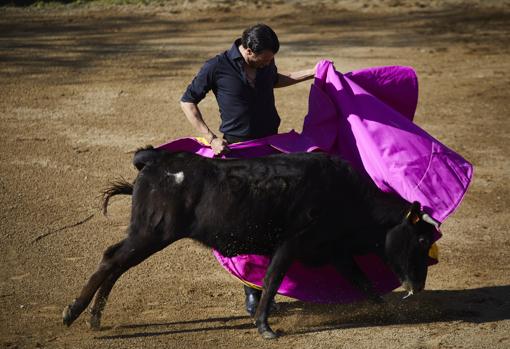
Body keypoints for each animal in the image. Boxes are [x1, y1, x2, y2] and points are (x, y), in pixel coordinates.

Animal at [62, 147, 438, 338]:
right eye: (421, 239)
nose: (419, 285)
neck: (345, 195)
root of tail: (154, 159)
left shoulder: (336, 252)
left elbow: (364, 284)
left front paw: (391, 312)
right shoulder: (290, 244)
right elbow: (272, 281)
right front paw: (264, 327)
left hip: (145, 234)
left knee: (115, 262)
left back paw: (94, 319)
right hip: (151, 233)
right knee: (111, 261)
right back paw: (72, 313)